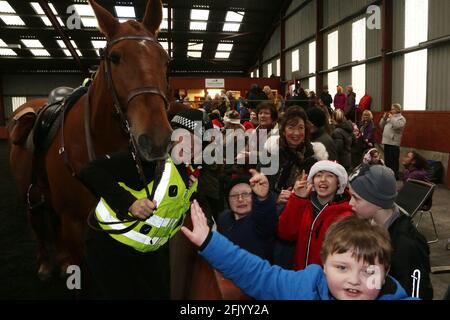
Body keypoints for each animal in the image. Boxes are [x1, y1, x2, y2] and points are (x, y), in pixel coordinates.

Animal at [7, 0, 172, 280]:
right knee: (38, 228)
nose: (157, 139)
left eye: (164, 59)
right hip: (30, 198)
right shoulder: (74, 224)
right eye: (115, 58)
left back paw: (61, 261)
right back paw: (45, 263)